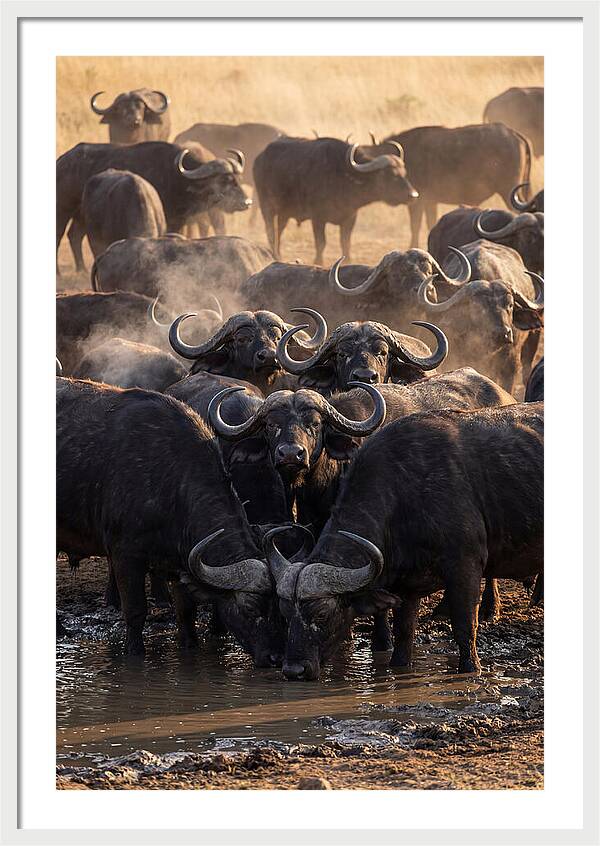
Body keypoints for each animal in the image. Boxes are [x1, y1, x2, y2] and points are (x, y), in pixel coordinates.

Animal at [253, 137, 418, 264]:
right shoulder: (318, 218)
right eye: (390, 174)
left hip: (284, 213)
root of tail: (259, 158)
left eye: (404, 172)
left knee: (279, 230)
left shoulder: (350, 217)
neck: (343, 176)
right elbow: (321, 243)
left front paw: (348, 260)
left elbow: (345, 242)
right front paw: (318, 261)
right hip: (266, 207)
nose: (413, 195)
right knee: (270, 232)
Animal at [265, 402, 543, 679]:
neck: (405, 495)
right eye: (285, 613)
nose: (294, 670)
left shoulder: (466, 566)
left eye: (322, 614)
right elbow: (403, 634)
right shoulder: (406, 586)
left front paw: (471, 669)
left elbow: (465, 627)